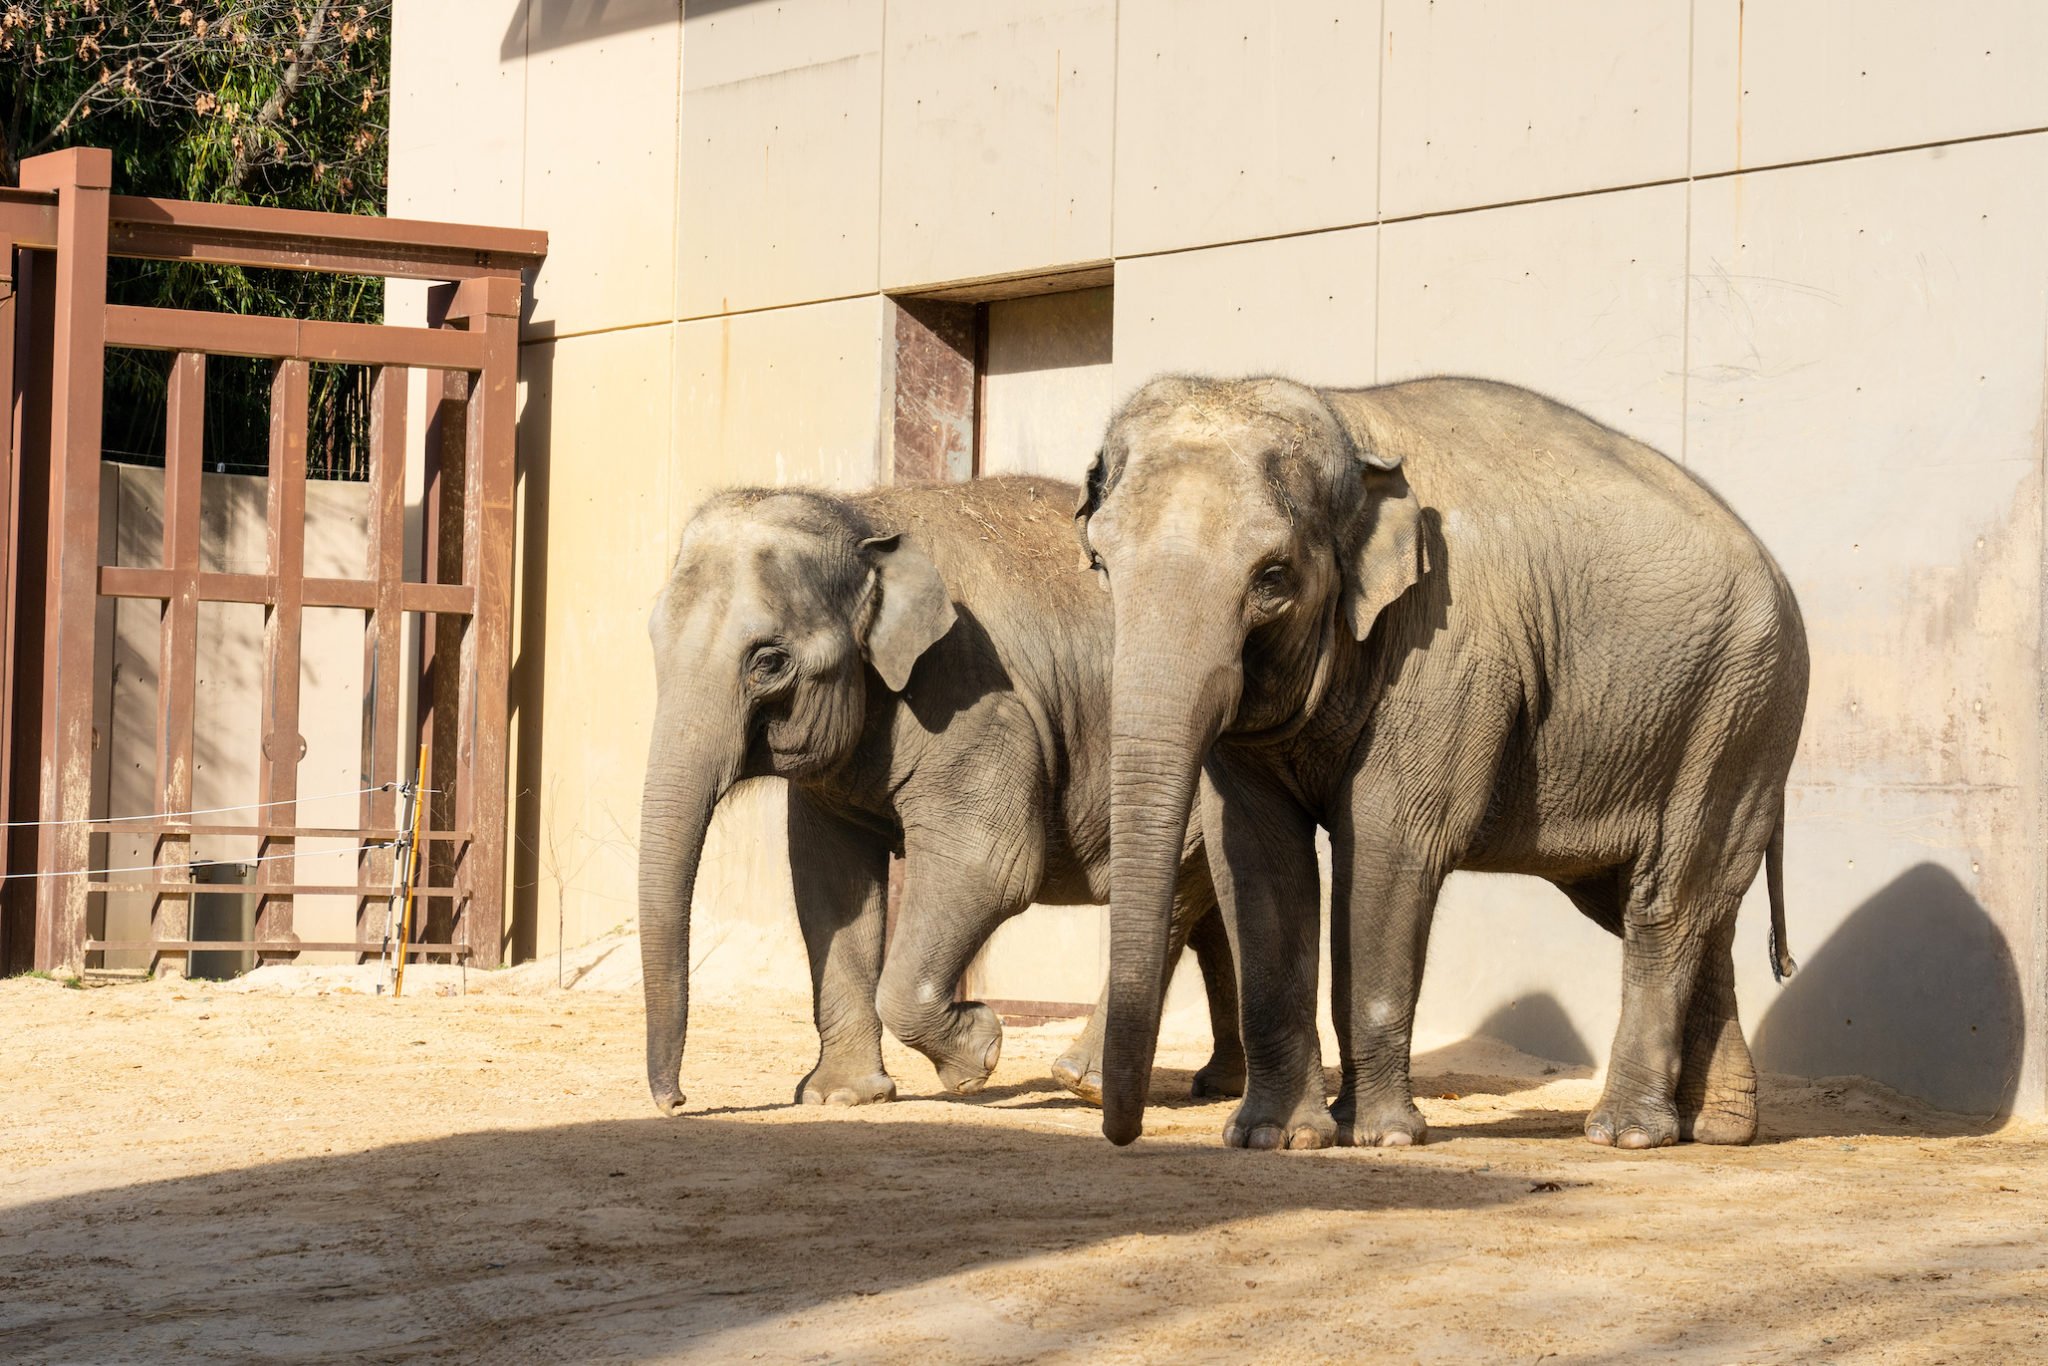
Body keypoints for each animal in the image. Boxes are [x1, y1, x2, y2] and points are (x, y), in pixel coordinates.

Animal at [638, 475, 1245, 1114]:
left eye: (770, 661)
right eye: (654, 640)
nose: (677, 1101)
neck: (867, 520)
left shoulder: (974, 703)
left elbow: (990, 868)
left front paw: (978, 1053)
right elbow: (831, 883)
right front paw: (840, 1098)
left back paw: (1084, 1083)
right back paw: (1220, 1084)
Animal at [1073, 374, 1810, 1155]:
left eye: (1272, 577)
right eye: (1101, 564)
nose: (1122, 1132)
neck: (1347, 423)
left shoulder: (1444, 646)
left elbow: (1388, 845)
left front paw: (1380, 1139)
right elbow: (1254, 853)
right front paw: (1273, 1138)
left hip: (1739, 711)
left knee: (1665, 904)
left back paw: (1626, 1134)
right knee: (1686, 910)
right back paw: (1719, 1127)